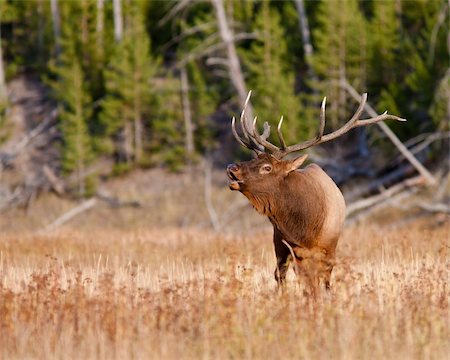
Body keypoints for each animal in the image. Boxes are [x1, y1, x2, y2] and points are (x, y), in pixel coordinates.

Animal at [227, 92, 406, 290]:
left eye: (267, 167)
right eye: (253, 159)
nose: (232, 167)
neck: (305, 228)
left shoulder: (328, 247)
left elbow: (321, 281)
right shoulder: (287, 245)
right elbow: (297, 280)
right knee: (282, 275)